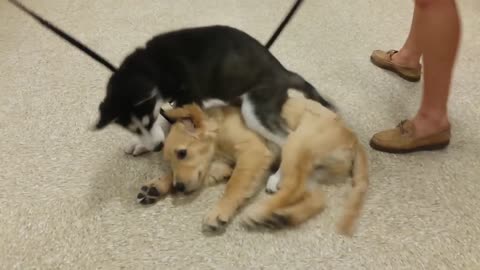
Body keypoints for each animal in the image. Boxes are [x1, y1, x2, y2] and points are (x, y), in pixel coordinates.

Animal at [94, 25, 334, 156]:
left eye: (148, 121)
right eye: (133, 129)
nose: (156, 148)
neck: (152, 66)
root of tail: (284, 72)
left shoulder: (189, 98)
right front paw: (140, 144)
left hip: (255, 108)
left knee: (289, 139)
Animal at [137, 103, 276, 232]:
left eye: (182, 153)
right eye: (169, 162)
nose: (179, 188)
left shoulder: (252, 151)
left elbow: (234, 184)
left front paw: (220, 210)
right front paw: (156, 186)